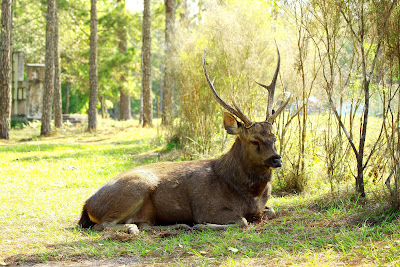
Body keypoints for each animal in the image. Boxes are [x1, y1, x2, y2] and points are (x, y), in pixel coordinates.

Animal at [78, 48, 290, 234]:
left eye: (274, 137)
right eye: (254, 141)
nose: (276, 159)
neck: (249, 194)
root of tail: (87, 205)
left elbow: (271, 211)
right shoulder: (207, 207)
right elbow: (242, 221)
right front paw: (200, 225)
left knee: (143, 223)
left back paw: (177, 226)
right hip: (135, 187)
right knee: (102, 225)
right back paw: (135, 228)